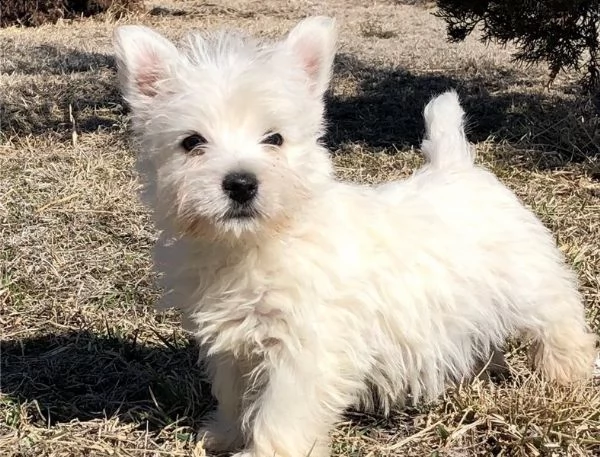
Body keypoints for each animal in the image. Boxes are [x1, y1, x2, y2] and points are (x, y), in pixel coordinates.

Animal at [111, 16, 596, 456]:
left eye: (275, 138)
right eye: (192, 142)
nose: (241, 183)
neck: (257, 242)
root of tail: (456, 165)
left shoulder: (305, 349)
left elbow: (279, 413)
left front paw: (265, 450)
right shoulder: (233, 344)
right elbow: (235, 394)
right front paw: (225, 434)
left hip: (530, 285)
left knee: (559, 323)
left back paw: (567, 375)